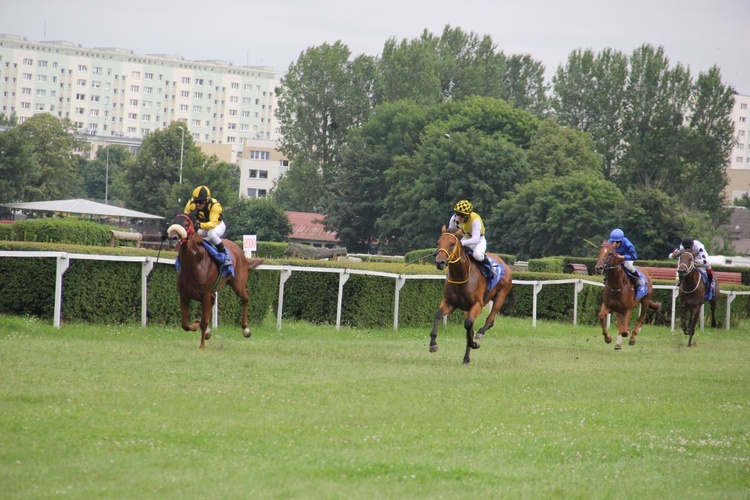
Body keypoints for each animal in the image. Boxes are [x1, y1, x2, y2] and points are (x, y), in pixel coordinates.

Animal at [166, 213, 266, 350]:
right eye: (173, 222)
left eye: (186, 225)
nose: (173, 238)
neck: (193, 265)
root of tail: (240, 251)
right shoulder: (184, 295)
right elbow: (185, 325)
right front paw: (198, 325)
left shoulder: (205, 294)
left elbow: (203, 322)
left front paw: (202, 345)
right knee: (214, 301)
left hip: (238, 285)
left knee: (246, 297)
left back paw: (245, 329)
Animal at [432, 227, 516, 364]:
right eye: (438, 242)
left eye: (452, 244)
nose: (440, 262)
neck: (461, 275)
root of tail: (504, 263)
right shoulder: (450, 302)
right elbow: (438, 315)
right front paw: (433, 344)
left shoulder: (477, 304)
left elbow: (468, 325)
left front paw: (474, 343)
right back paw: (466, 358)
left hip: (501, 296)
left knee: (490, 319)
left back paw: (480, 333)